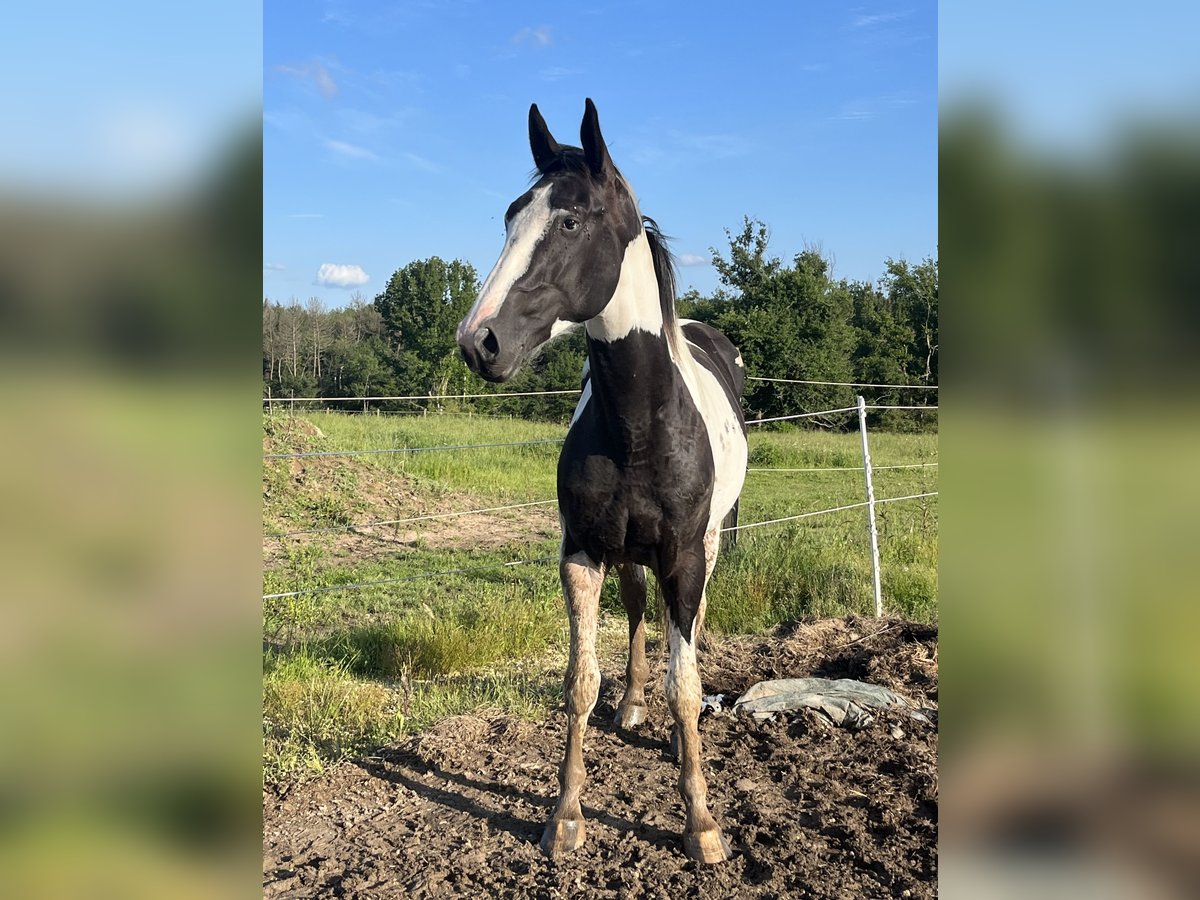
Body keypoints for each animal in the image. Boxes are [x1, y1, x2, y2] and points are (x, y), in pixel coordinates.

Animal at [453, 98, 744, 868]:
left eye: (570, 221)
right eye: (510, 215)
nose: (479, 342)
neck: (641, 423)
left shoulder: (684, 556)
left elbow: (687, 683)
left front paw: (701, 822)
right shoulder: (582, 553)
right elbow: (580, 682)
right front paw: (565, 815)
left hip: (706, 545)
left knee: (684, 628)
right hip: (630, 553)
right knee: (641, 612)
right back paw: (634, 703)